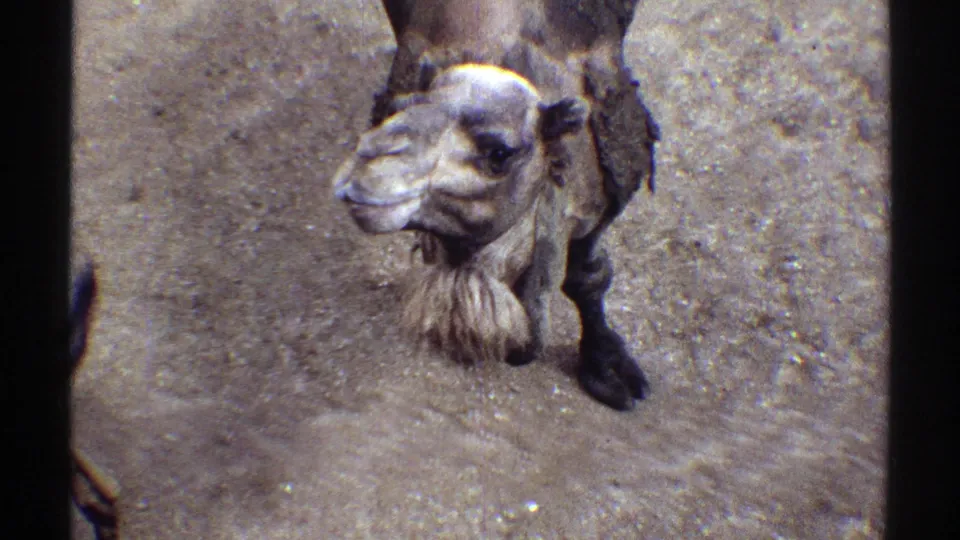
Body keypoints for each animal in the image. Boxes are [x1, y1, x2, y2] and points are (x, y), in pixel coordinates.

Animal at [333, 0, 660, 411]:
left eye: (499, 152)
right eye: (395, 110)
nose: (364, 173)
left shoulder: (605, 198)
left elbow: (588, 276)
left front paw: (608, 368)